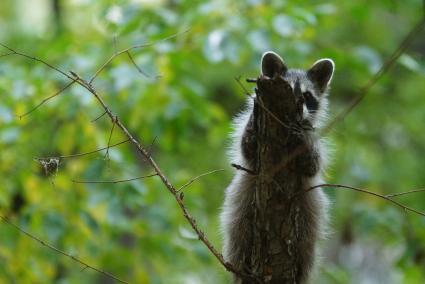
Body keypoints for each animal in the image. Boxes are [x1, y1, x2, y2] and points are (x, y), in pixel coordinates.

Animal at [220, 51, 332, 284]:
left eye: (307, 96)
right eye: (293, 93)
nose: (299, 112)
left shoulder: (313, 137)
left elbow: (312, 165)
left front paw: (303, 142)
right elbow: (246, 148)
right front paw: (252, 123)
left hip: (310, 208)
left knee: (306, 246)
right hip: (241, 199)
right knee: (237, 232)